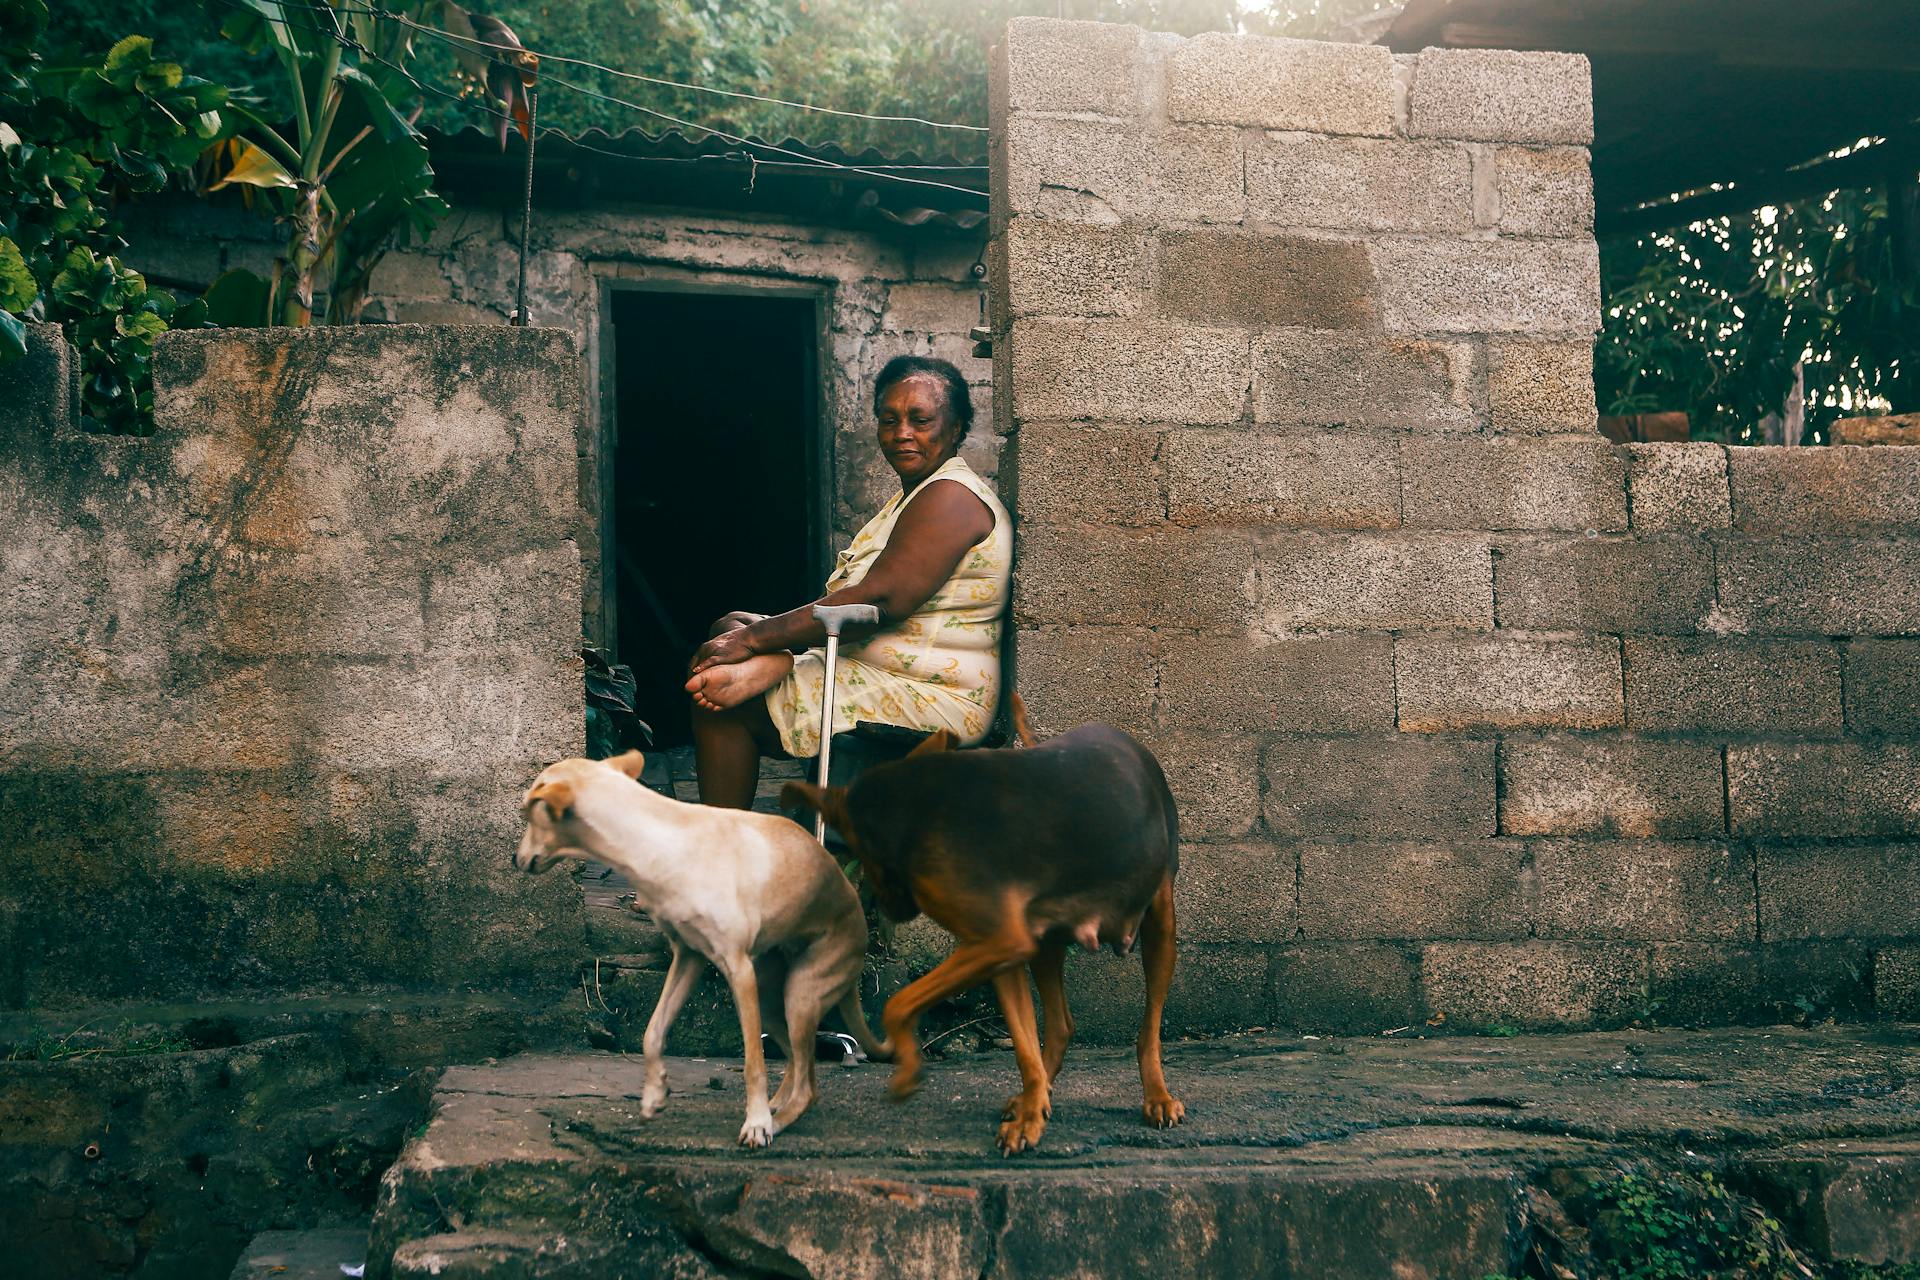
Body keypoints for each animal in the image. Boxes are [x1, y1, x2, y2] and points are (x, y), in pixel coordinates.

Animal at [518, 744, 890, 1143]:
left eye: (527, 814)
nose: (513, 858)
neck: (656, 840)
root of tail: (858, 917)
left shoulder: (738, 970)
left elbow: (753, 1062)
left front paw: (756, 1122)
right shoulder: (688, 957)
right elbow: (652, 1033)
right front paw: (654, 1093)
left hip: (800, 994)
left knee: (809, 1086)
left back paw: (774, 1121)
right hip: (773, 999)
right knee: (796, 1060)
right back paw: (778, 1103)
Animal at [783, 725, 1182, 1159]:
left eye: (857, 849)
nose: (884, 906)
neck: (913, 805)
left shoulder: (1000, 942)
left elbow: (898, 1003)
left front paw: (907, 1072)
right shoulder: (1001, 950)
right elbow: (1024, 1048)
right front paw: (1030, 1112)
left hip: (1160, 920)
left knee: (1148, 1029)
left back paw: (1158, 1097)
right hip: (1048, 943)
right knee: (1061, 1025)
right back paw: (1035, 1097)